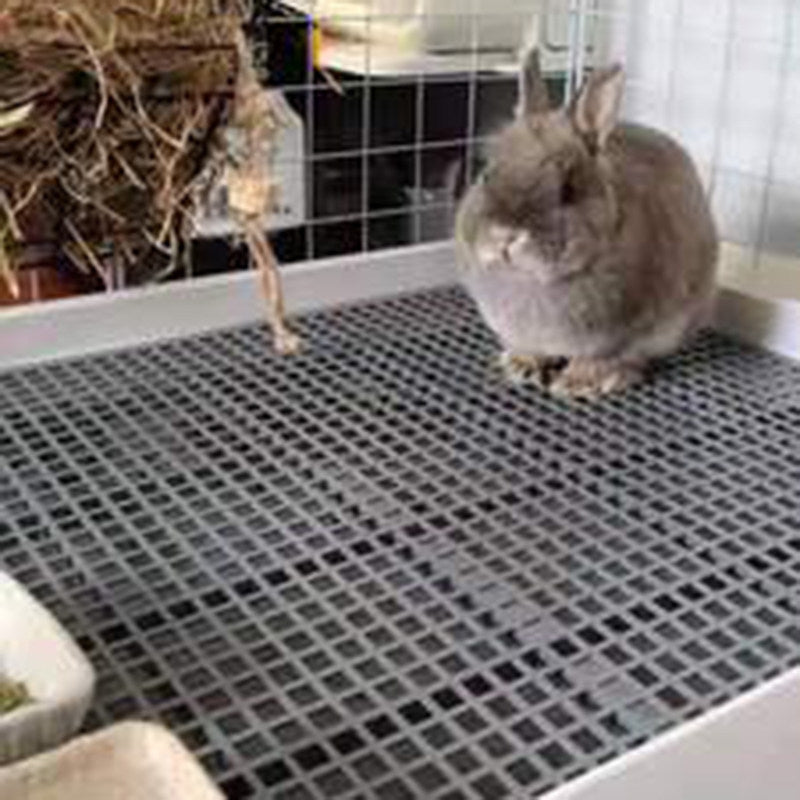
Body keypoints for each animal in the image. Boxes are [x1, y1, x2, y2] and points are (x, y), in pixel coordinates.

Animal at [455, 49, 718, 399]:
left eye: (568, 190)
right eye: (486, 175)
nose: (505, 236)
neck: (533, 280)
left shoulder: (623, 336)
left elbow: (601, 359)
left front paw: (578, 383)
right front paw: (521, 365)